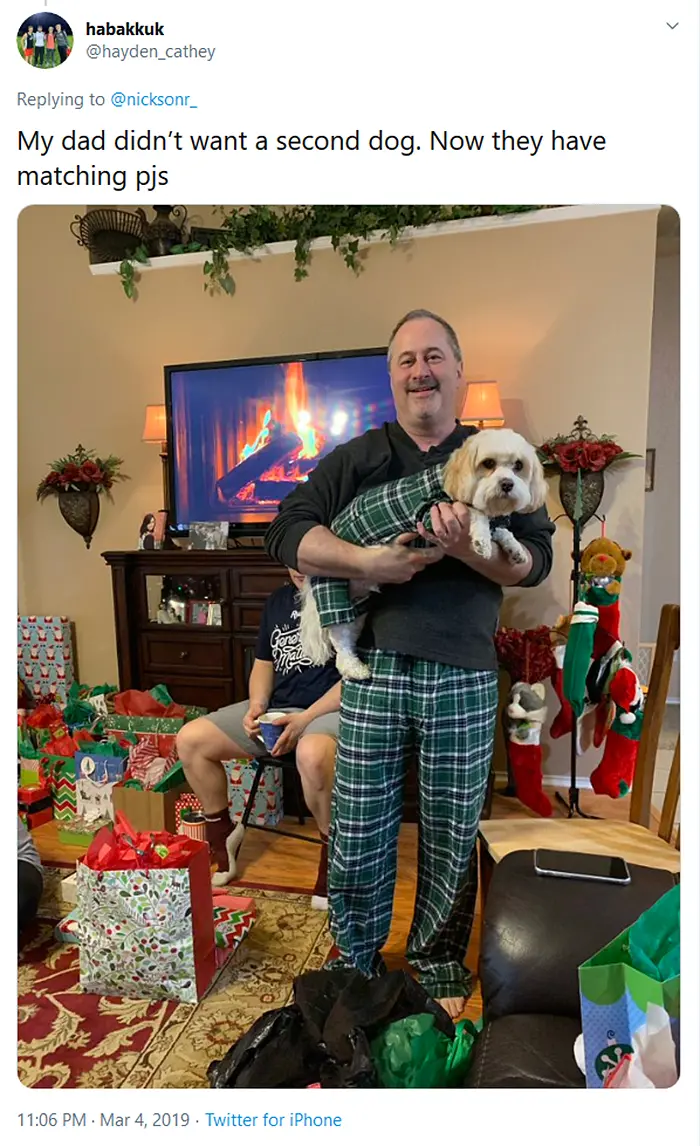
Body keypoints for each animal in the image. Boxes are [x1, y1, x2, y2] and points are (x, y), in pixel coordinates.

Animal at [297, 430, 545, 678]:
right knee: (338, 638)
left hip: (358, 606)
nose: (507, 484)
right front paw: (481, 539)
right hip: (333, 589)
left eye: (518, 466)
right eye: (488, 463)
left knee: (346, 640)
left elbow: (502, 530)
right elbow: (477, 514)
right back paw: (355, 668)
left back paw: (354, 668)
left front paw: (515, 548)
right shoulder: (429, 514)